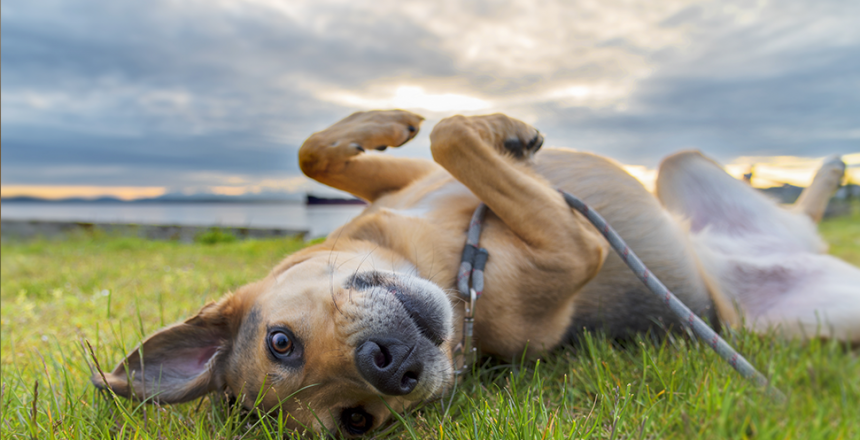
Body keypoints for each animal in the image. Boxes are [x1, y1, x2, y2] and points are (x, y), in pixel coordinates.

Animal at [94, 111, 860, 436]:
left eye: (280, 342)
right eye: (357, 421)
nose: (388, 365)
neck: (442, 260)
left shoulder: (406, 184)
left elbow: (331, 151)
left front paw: (400, 119)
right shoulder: (573, 247)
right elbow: (455, 138)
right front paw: (495, 129)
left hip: (680, 167)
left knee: (796, 210)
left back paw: (827, 171)